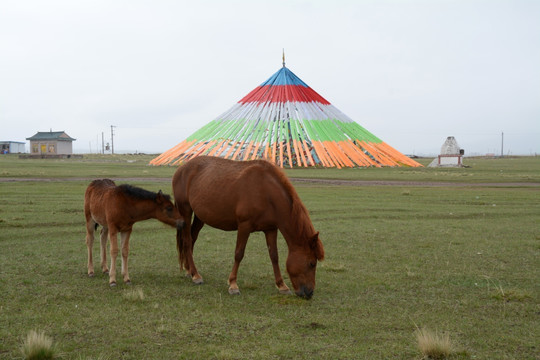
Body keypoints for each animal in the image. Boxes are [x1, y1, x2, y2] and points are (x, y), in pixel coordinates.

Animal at [173, 156, 324, 300]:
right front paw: (233, 285)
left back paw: (189, 270)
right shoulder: (244, 226)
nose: (309, 293)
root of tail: (181, 169)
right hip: (186, 211)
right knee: (187, 241)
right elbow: (239, 254)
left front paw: (282, 286)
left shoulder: (271, 229)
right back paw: (196, 275)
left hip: (200, 217)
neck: (266, 191)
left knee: (192, 239)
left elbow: (274, 256)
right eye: (312, 263)